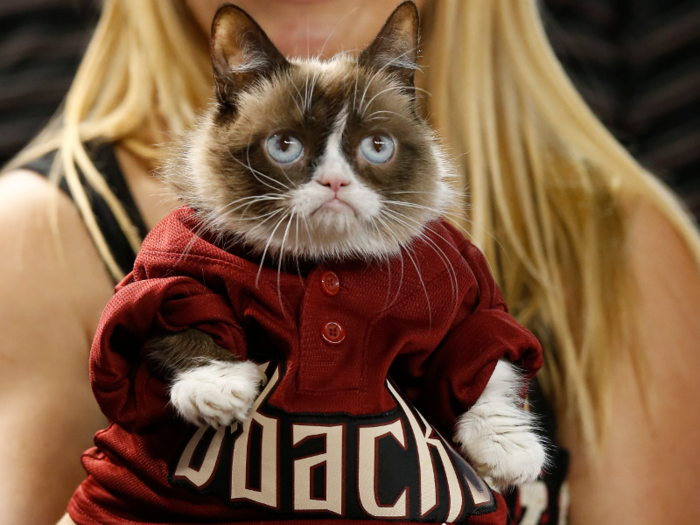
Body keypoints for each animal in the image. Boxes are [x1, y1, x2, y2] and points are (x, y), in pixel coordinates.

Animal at [145, 2, 544, 490]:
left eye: (377, 146)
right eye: (284, 146)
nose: (335, 182)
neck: (328, 260)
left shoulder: (464, 293)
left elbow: (488, 356)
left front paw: (509, 450)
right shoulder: (167, 267)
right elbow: (179, 315)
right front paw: (216, 388)